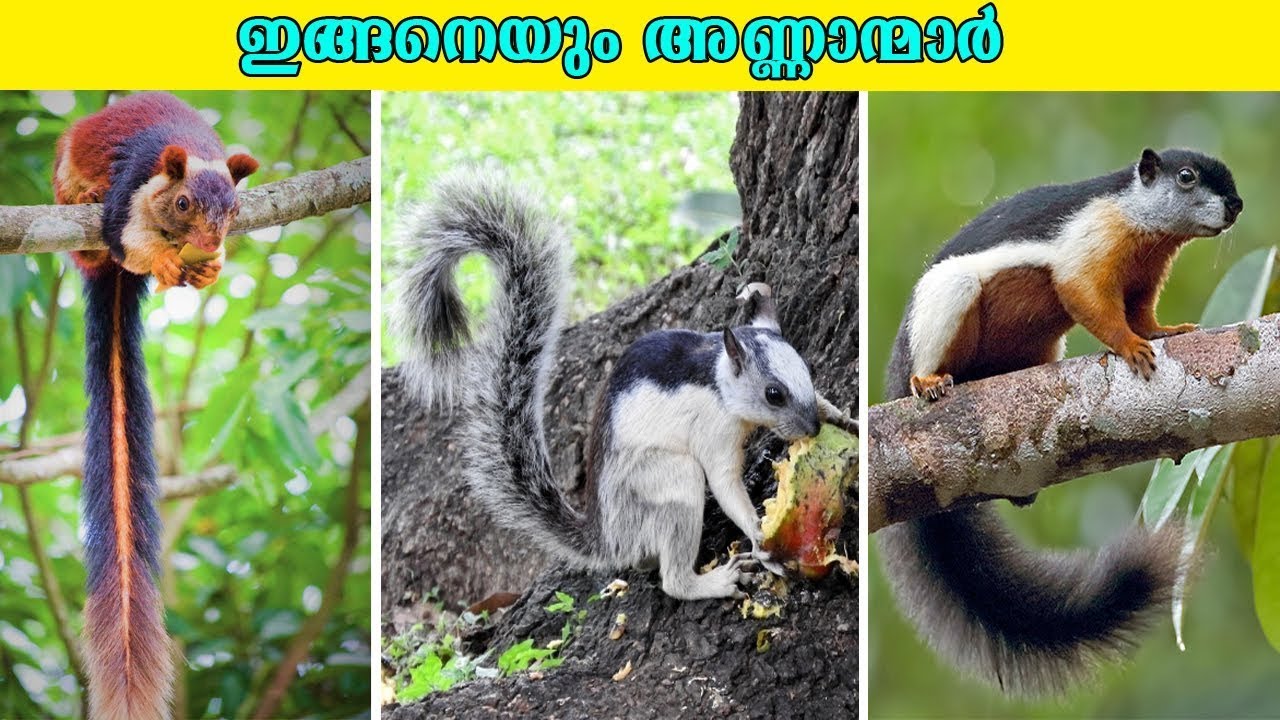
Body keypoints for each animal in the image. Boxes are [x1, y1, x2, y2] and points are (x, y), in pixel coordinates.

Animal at [54, 92, 258, 720]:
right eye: (184, 202)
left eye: (235, 211)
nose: (210, 244)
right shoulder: (131, 192)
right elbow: (128, 241)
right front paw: (166, 264)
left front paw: (211, 268)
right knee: (94, 240)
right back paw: (81, 204)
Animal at [393, 171, 854, 600]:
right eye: (773, 394)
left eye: (808, 374)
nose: (812, 429)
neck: (720, 385)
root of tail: (608, 540)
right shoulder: (713, 432)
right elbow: (725, 484)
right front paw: (759, 534)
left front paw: (840, 416)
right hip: (667, 483)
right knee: (672, 577)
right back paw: (712, 582)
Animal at [878, 148, 1243, 695]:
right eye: (1186, 177)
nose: (1237, 205)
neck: (1143, 227)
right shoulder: (1088, 247)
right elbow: (1090, 300)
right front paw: (1130, 347)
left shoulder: (1144, 277)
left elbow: (1142, 313)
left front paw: (1165, 331)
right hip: (948, 300)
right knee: (935, 352)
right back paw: (930, 382)